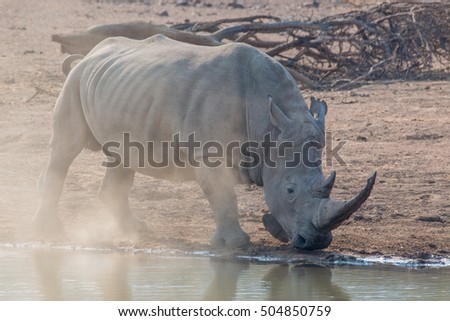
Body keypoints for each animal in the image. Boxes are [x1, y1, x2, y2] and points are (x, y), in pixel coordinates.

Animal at [33, 35, 374, 250]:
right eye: (290, 191)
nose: (315, 244)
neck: (269, 129)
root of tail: (88, 55)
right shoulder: (212, 154)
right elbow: (222, 194)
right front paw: (235, 245)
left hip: (122, 89)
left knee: (123, 157)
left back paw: (137, 230)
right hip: (75, 81)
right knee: (65, 149)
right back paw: (50, 230)